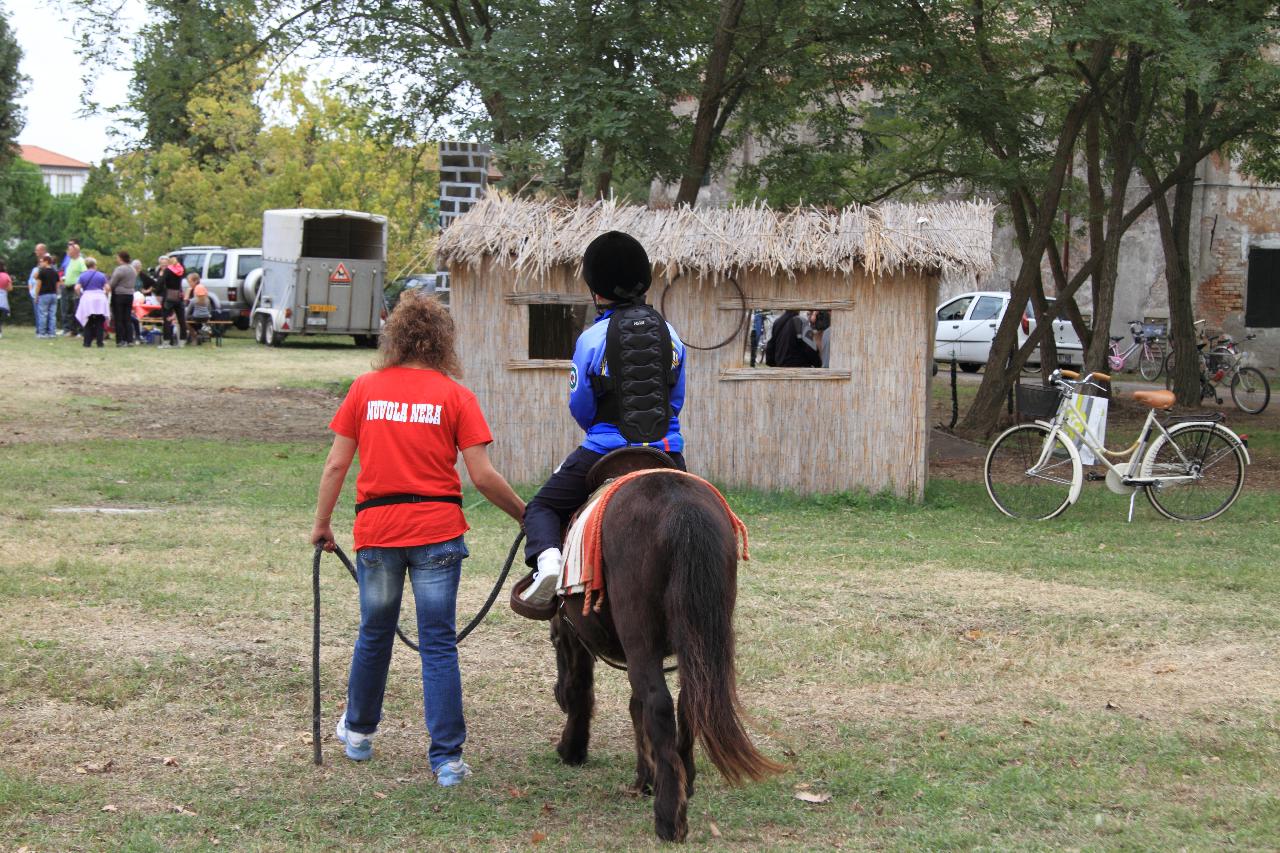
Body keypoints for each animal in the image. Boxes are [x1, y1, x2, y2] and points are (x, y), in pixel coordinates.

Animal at [542, 458, 778, 835]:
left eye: (553, 641)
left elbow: (586, 689)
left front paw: (572, 749)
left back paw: (669, 818)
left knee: (659, 704)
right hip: (693, 639)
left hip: (641, 636)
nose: (556, 695)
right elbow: (636, 707)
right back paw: (685, 782)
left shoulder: (581, 637)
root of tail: (681, 506)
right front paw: (646, 777)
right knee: (689, 700)